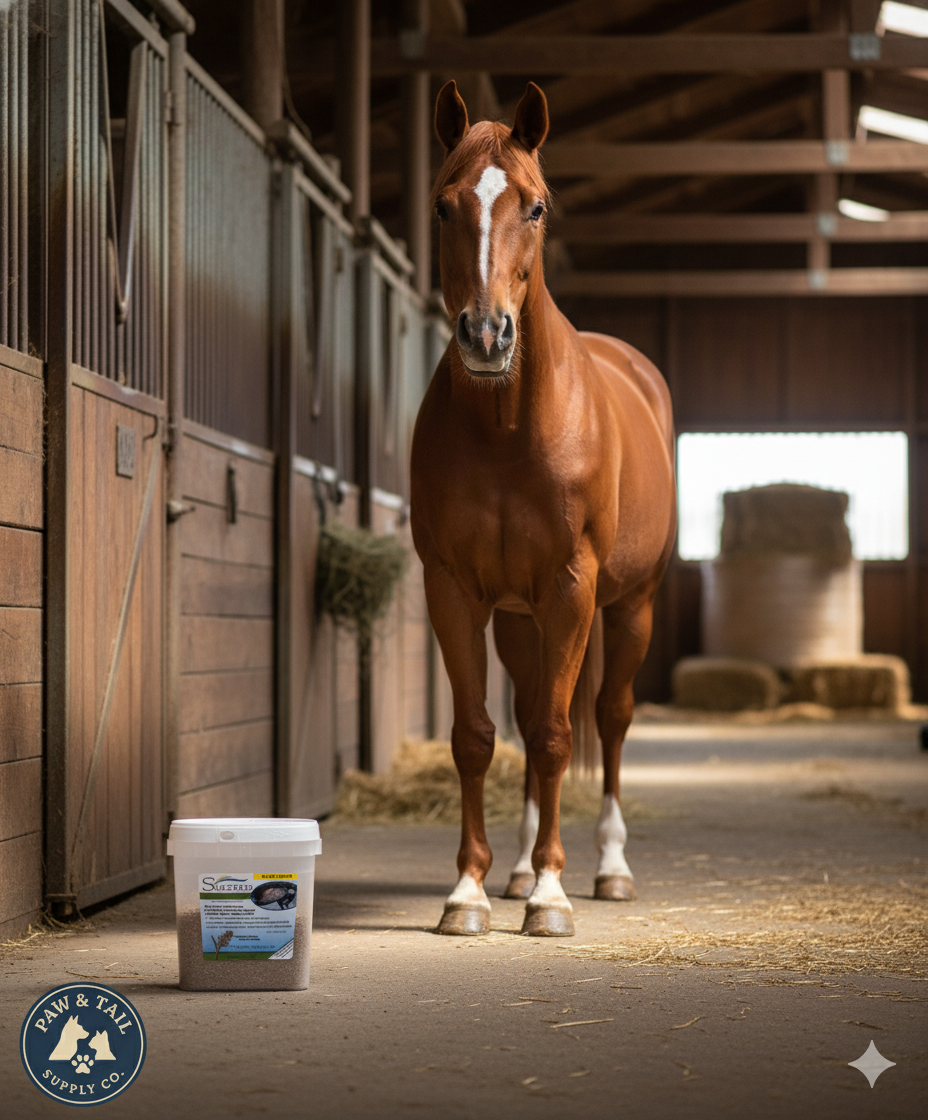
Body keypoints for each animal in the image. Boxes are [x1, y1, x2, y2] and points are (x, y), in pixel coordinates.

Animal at [409, 80, 677, 938]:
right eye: (443, 205)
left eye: (534, 206)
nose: (488, 335)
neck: (509, 427)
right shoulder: (455, 590)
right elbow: (477, 737)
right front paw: (468, 889)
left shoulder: (571, 588)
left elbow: (562, 737)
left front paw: (555, 897)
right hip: (521, 621)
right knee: (526, 715)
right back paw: (521, 868)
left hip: (629, 606)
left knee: (612, 718)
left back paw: (609, 869)